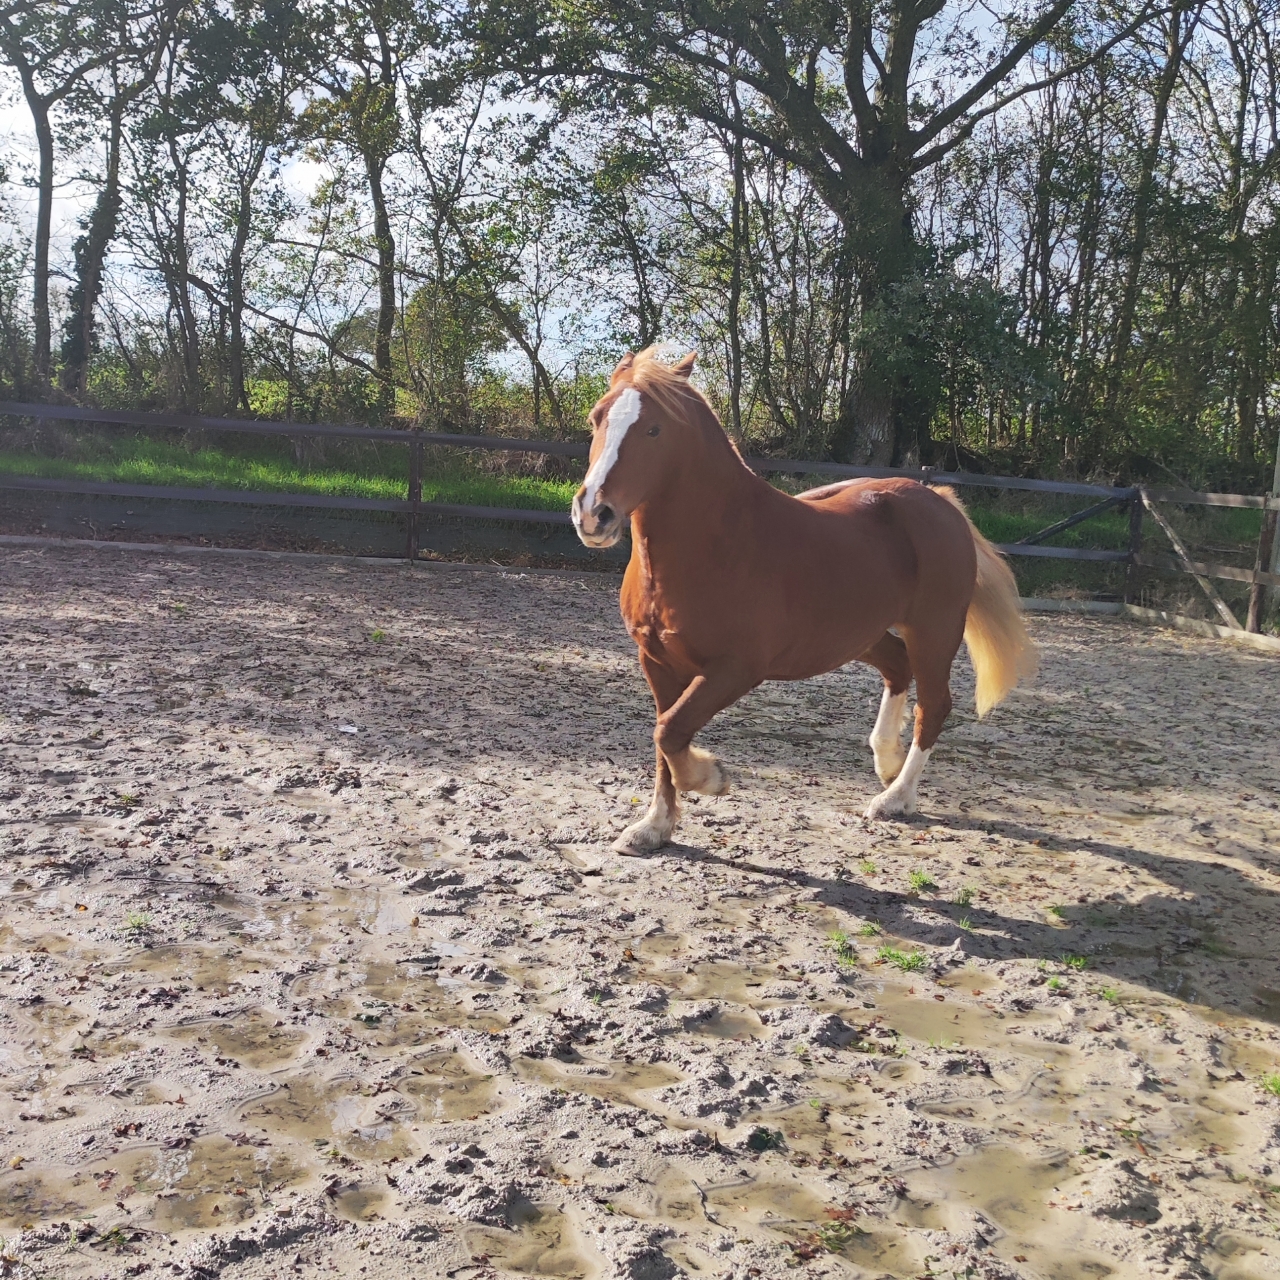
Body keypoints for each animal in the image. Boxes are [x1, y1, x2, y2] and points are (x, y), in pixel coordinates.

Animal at [570, 347, 1038, 854]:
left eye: (655, 429)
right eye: (597, 417)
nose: (593, 514)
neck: (714, 544)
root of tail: (939, 500)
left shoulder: (736, 668)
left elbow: (671, 730)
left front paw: (711, 778)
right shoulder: (655, 660)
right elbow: (663, 738)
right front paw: (653, 827)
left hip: (934, 632)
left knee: (933, 707)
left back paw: (896, 797)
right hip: (857, 635)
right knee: (898, 668)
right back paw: (887, 760)